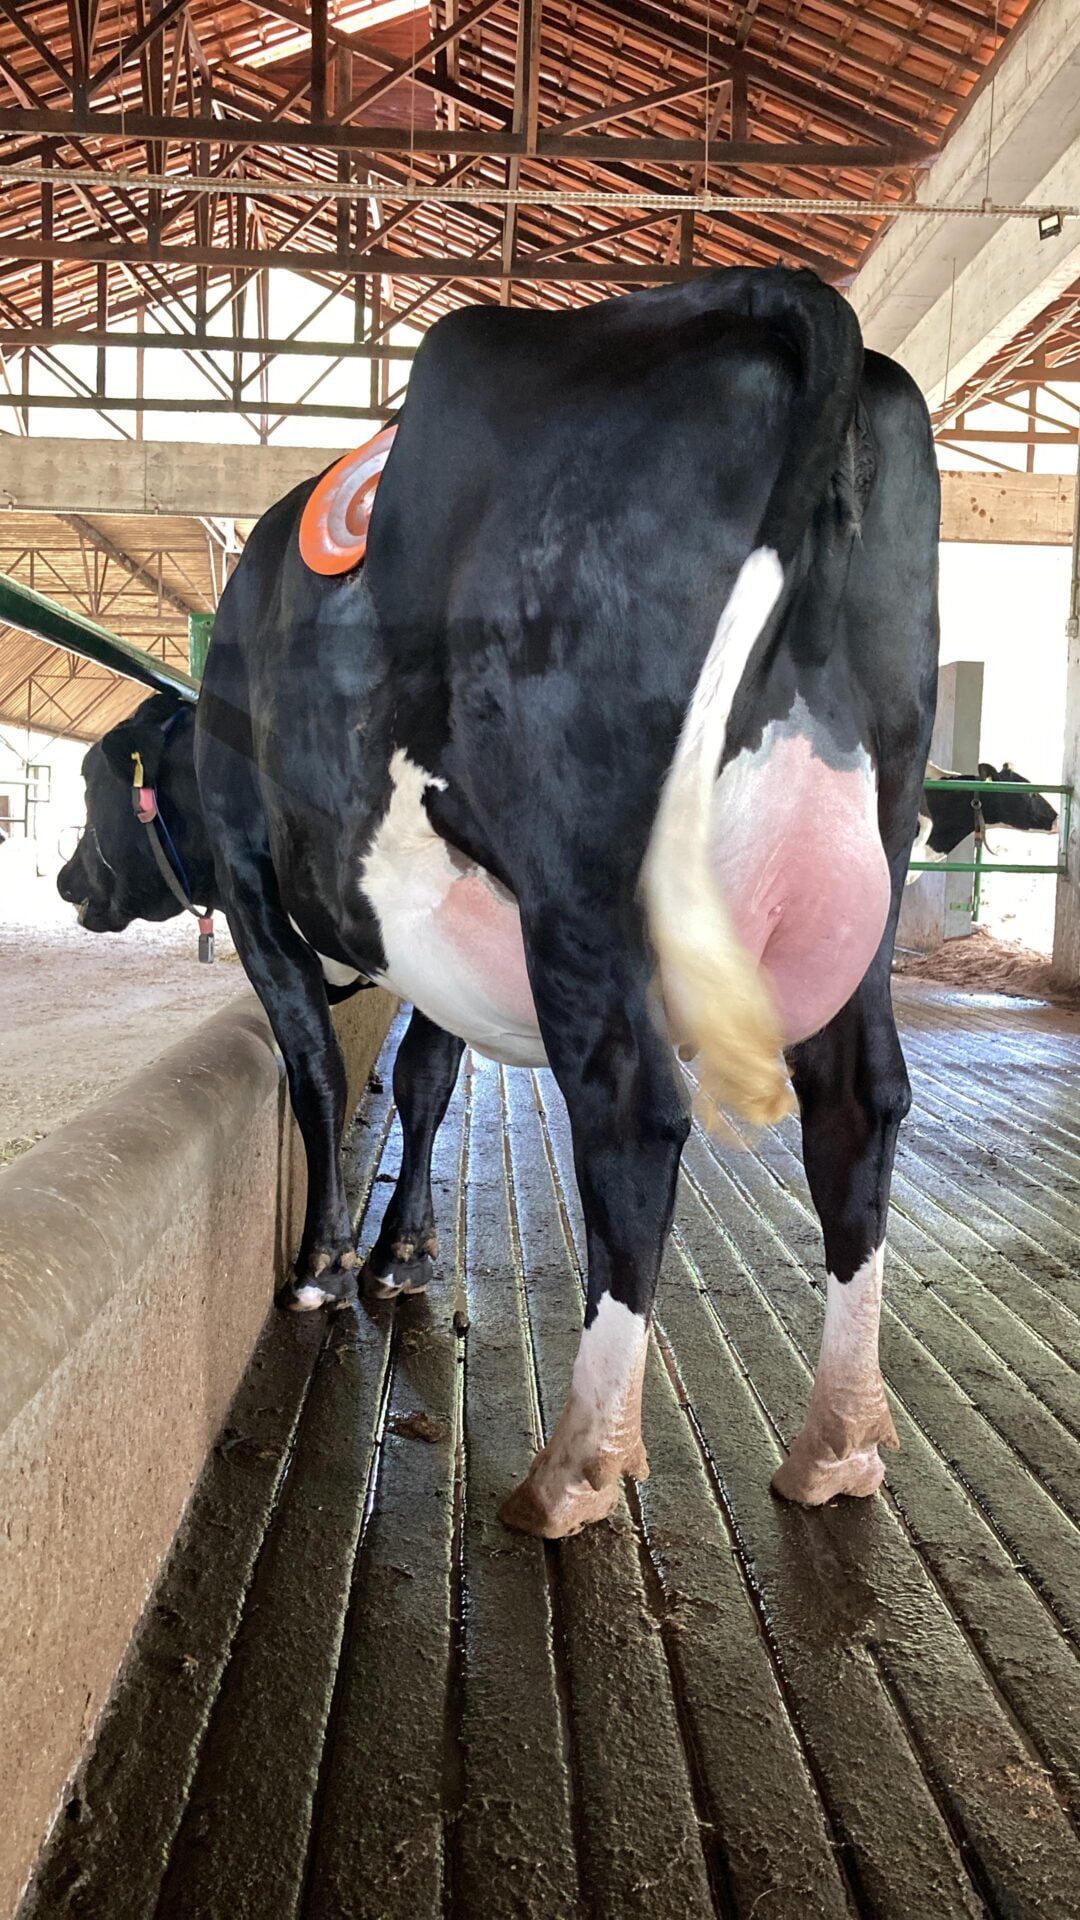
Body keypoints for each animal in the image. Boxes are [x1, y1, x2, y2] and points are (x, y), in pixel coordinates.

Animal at [58, 267, 940, 1540]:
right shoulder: (440, 917)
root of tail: (762, 296)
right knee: (860, 1105)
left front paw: (324, 1267)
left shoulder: (258, 888)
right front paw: (407, 1251)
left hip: (578, 876)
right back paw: (837, 1443)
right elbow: (427, 1077)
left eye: (91, 785)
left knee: (634, 1114)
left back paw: (576, 1464)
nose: (68, 879)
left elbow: (318, 1070)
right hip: (872, 854)